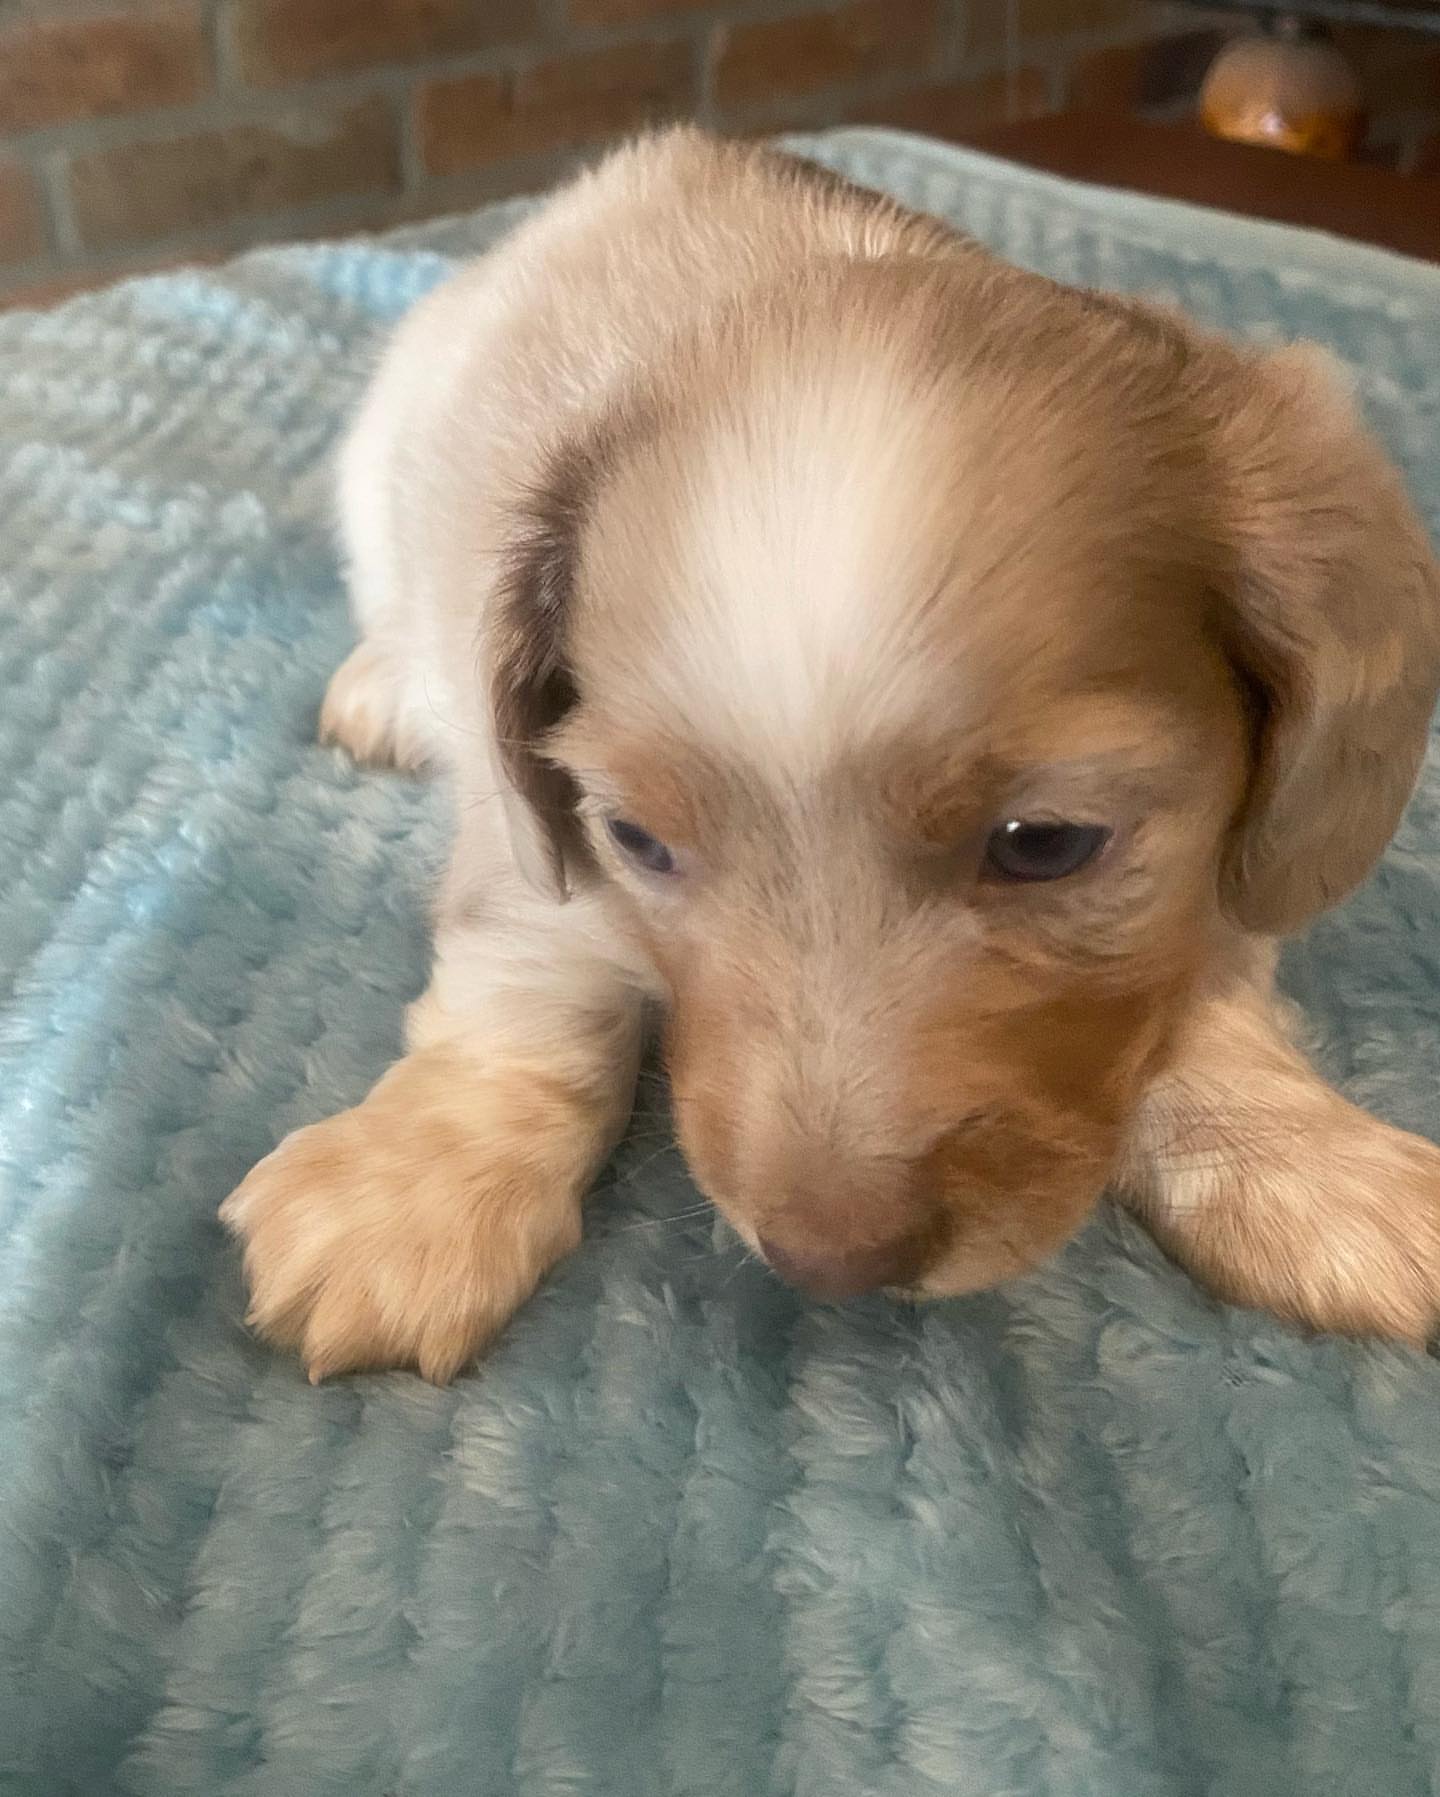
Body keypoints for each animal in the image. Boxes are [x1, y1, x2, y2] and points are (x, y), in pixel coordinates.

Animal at [216, 130, 1438, 1387]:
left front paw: (1307, 1164)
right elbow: (527, 988)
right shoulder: (527, 834)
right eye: (638, 840)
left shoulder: (1228, 862)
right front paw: (416, 1193)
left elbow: (1209, 996)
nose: (829, 1264)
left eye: (1045, 845)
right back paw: (380, 686)